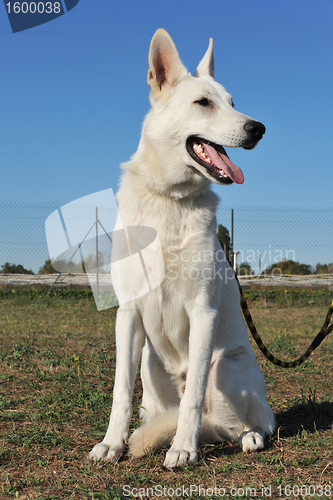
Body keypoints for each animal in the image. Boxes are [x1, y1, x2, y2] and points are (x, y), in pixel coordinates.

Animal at [89, 28, 274, 468]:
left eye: (233, 103)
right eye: (203, 103)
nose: (258, 128)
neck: (169, 200)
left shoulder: (202, 311)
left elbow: (192, 401)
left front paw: (183, 449)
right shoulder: (128, 314)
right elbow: (120, 392)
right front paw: (112, 443)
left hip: (226, 366)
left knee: (240, 423)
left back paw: (248, 437)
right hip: (149, 366)